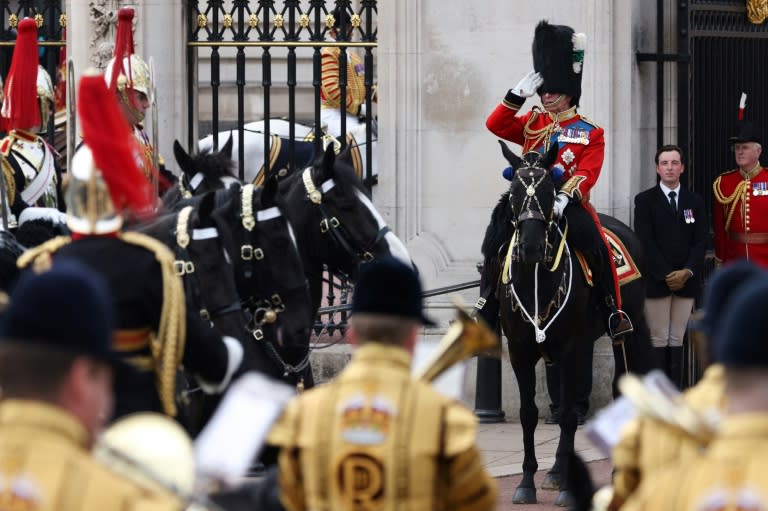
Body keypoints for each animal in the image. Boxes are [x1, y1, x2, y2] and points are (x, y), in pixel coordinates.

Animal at [486, 142, 656, 506]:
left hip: (625, 330)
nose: (532, 247)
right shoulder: (521, 351)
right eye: (514, 192)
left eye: (551, 192)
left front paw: (566, 488)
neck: (536, 280)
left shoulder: (570, 349)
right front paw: (527, 482)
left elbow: (565, 414)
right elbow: (529, 414)